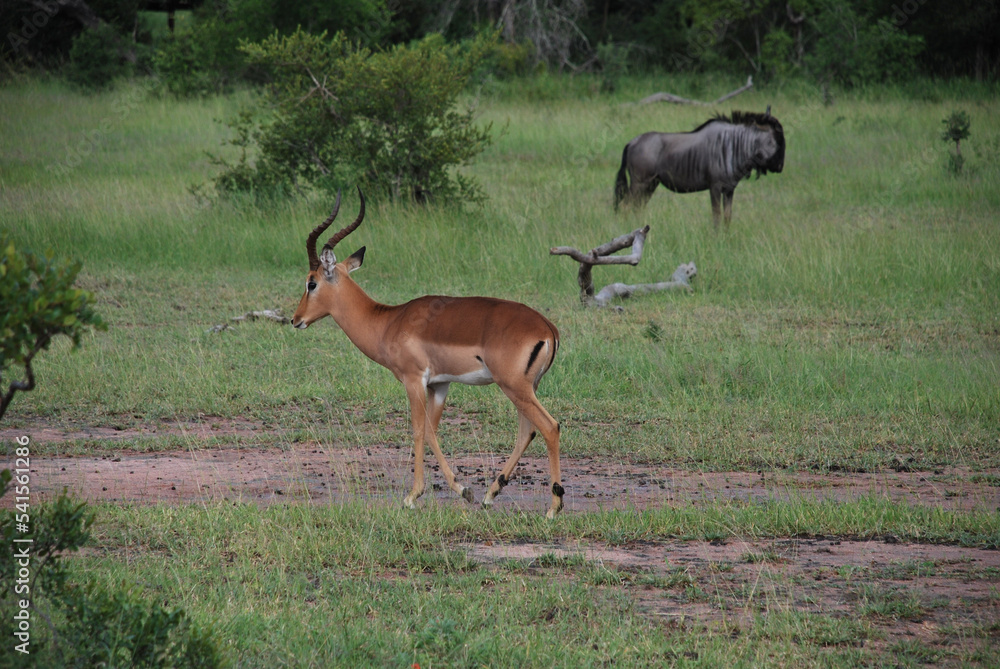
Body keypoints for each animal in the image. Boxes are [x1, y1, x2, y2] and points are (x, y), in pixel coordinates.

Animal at [291, 189, 565, 518]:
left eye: (311, 282)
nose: (295, 319)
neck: (388, 322)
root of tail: (547, 327)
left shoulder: (413, 380)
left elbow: (419, 431)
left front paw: (414, 496)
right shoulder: (439, 384)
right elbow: (432, 431)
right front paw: (462, 490)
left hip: (514, 387)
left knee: (549, 427)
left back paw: (553, 508)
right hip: (525, 388)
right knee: (527, 431)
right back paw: (490, 494)